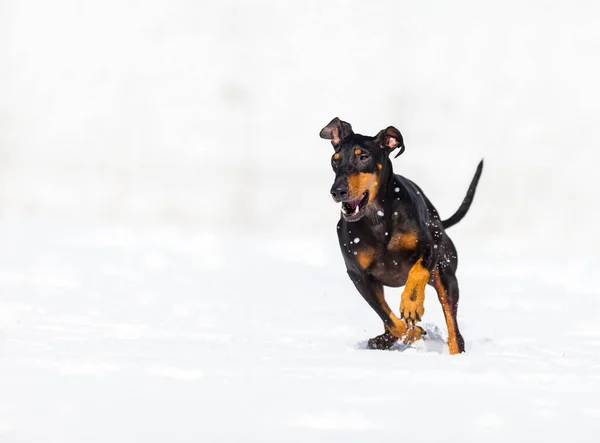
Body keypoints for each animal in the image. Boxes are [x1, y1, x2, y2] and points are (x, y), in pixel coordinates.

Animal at [318, 117, 482, 354]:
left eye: (363, 156)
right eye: (334, 160)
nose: (337, 191)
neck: (377, 218)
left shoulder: (429, 248)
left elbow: (418, 271)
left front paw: (411, 305)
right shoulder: (358, 275)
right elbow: (388, 318)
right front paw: (412, 333)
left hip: (446, 275)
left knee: (454, 330)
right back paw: (382, 340)